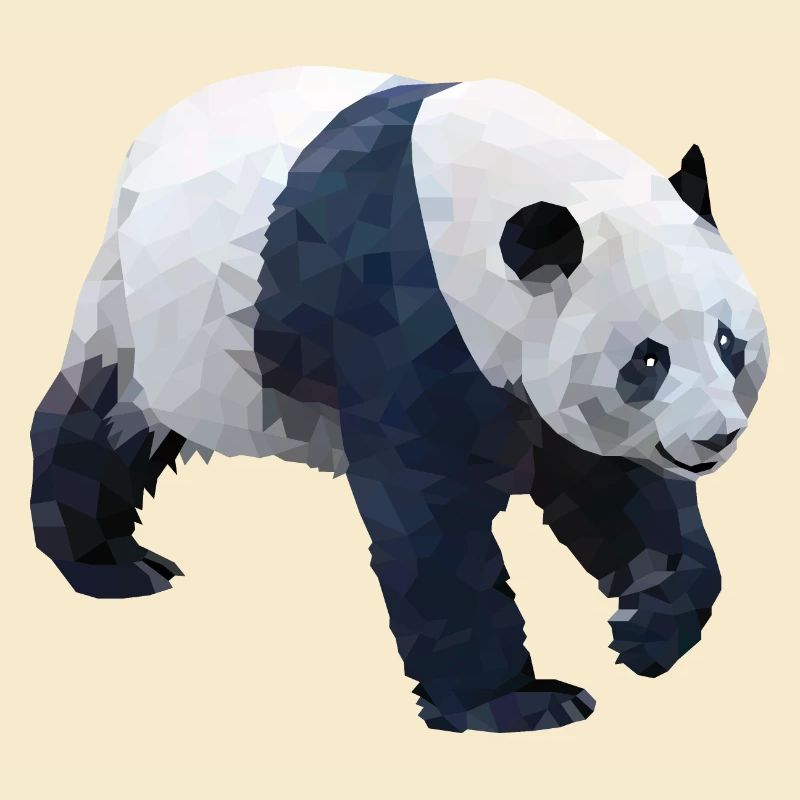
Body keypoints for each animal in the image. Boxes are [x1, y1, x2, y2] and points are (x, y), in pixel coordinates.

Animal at [30, 67, 769, 733]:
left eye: (728, 342)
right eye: (647, 358)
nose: (715, 438)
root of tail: (146, 140)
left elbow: (619, 494)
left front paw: (644, 635)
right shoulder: (404, 310)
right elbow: (432, 513)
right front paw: (516, 703)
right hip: (153, 313)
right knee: (105, 417)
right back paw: (111, 562)